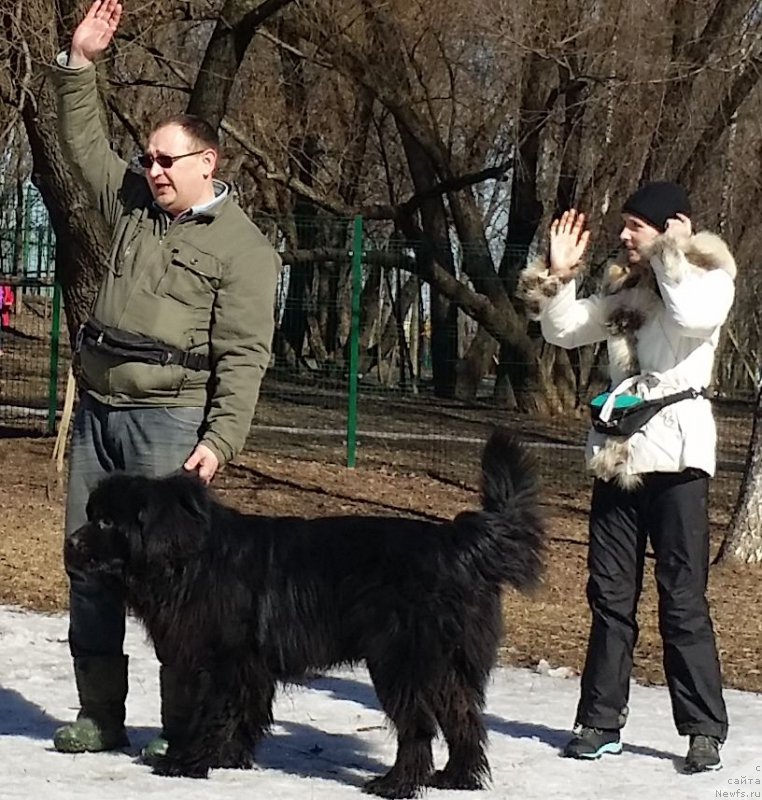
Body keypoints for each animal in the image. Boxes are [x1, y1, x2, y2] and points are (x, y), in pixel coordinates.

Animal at [63, 428, 540, 796]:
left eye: (107, 522)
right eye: (92, 514)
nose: (70, 543)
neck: (189, 559)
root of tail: (456, 543)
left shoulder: (224, 660)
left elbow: (212, 713)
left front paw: (188, 762)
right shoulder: (250, 667)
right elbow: (246, 713)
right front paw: (232, 759)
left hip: (399, 662)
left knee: (419, 726)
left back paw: (397, 784)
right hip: (445, 666)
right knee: (464, 719)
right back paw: (457, 778)